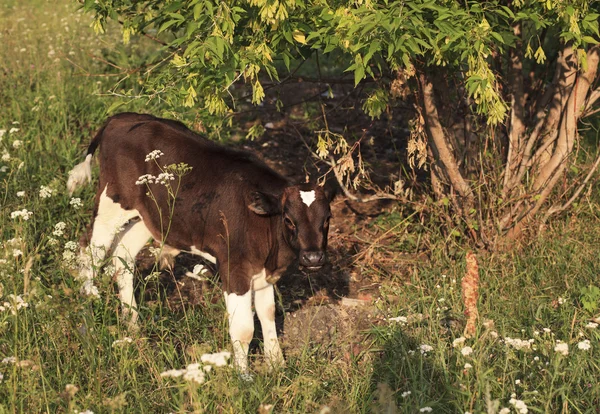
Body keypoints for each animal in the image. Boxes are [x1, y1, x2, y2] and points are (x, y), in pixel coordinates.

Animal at [69, 112, 332, 372]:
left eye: (327, 218)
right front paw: (244, 375)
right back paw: (87, 320)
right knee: (88, 254)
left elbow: (267, 314)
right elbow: (244, 329)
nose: (313, 257)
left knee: (122, 255)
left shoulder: (264, 271)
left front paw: (277, 365)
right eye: (288, 219)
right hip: (110, 204)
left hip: (151, 217)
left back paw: (133, 325)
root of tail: (121, 117)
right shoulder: (233, 268)